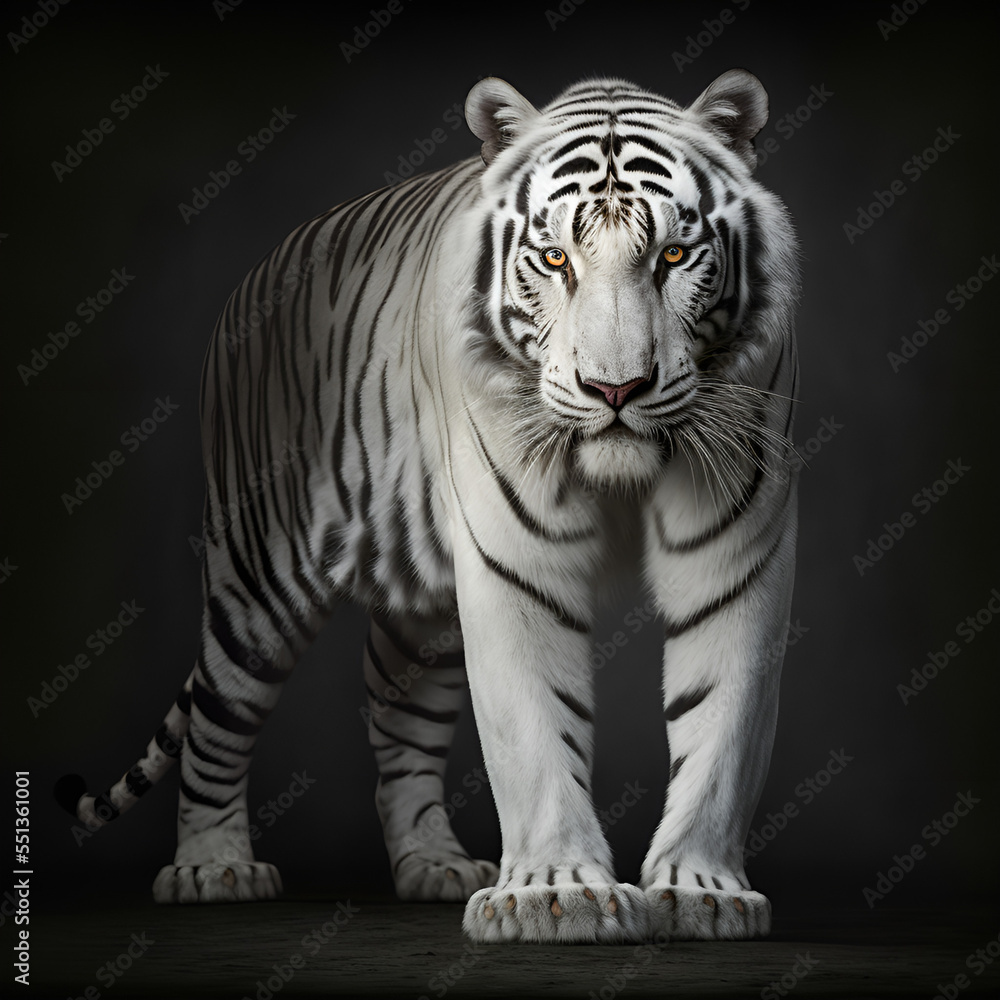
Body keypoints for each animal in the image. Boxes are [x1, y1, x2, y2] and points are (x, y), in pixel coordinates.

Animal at [56, 68, 800, 945]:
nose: (614, 390)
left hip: (424, 611)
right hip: (259, 575)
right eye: (555, 258)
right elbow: (534, 730)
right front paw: (557, 894)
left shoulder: (734, 557)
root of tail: (258, 271)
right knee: (217, 716)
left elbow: (723, 729)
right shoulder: (518, 564)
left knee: (397, 715)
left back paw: (432, 864)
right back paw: (213, 867)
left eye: (675, 256)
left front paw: (700, 892)